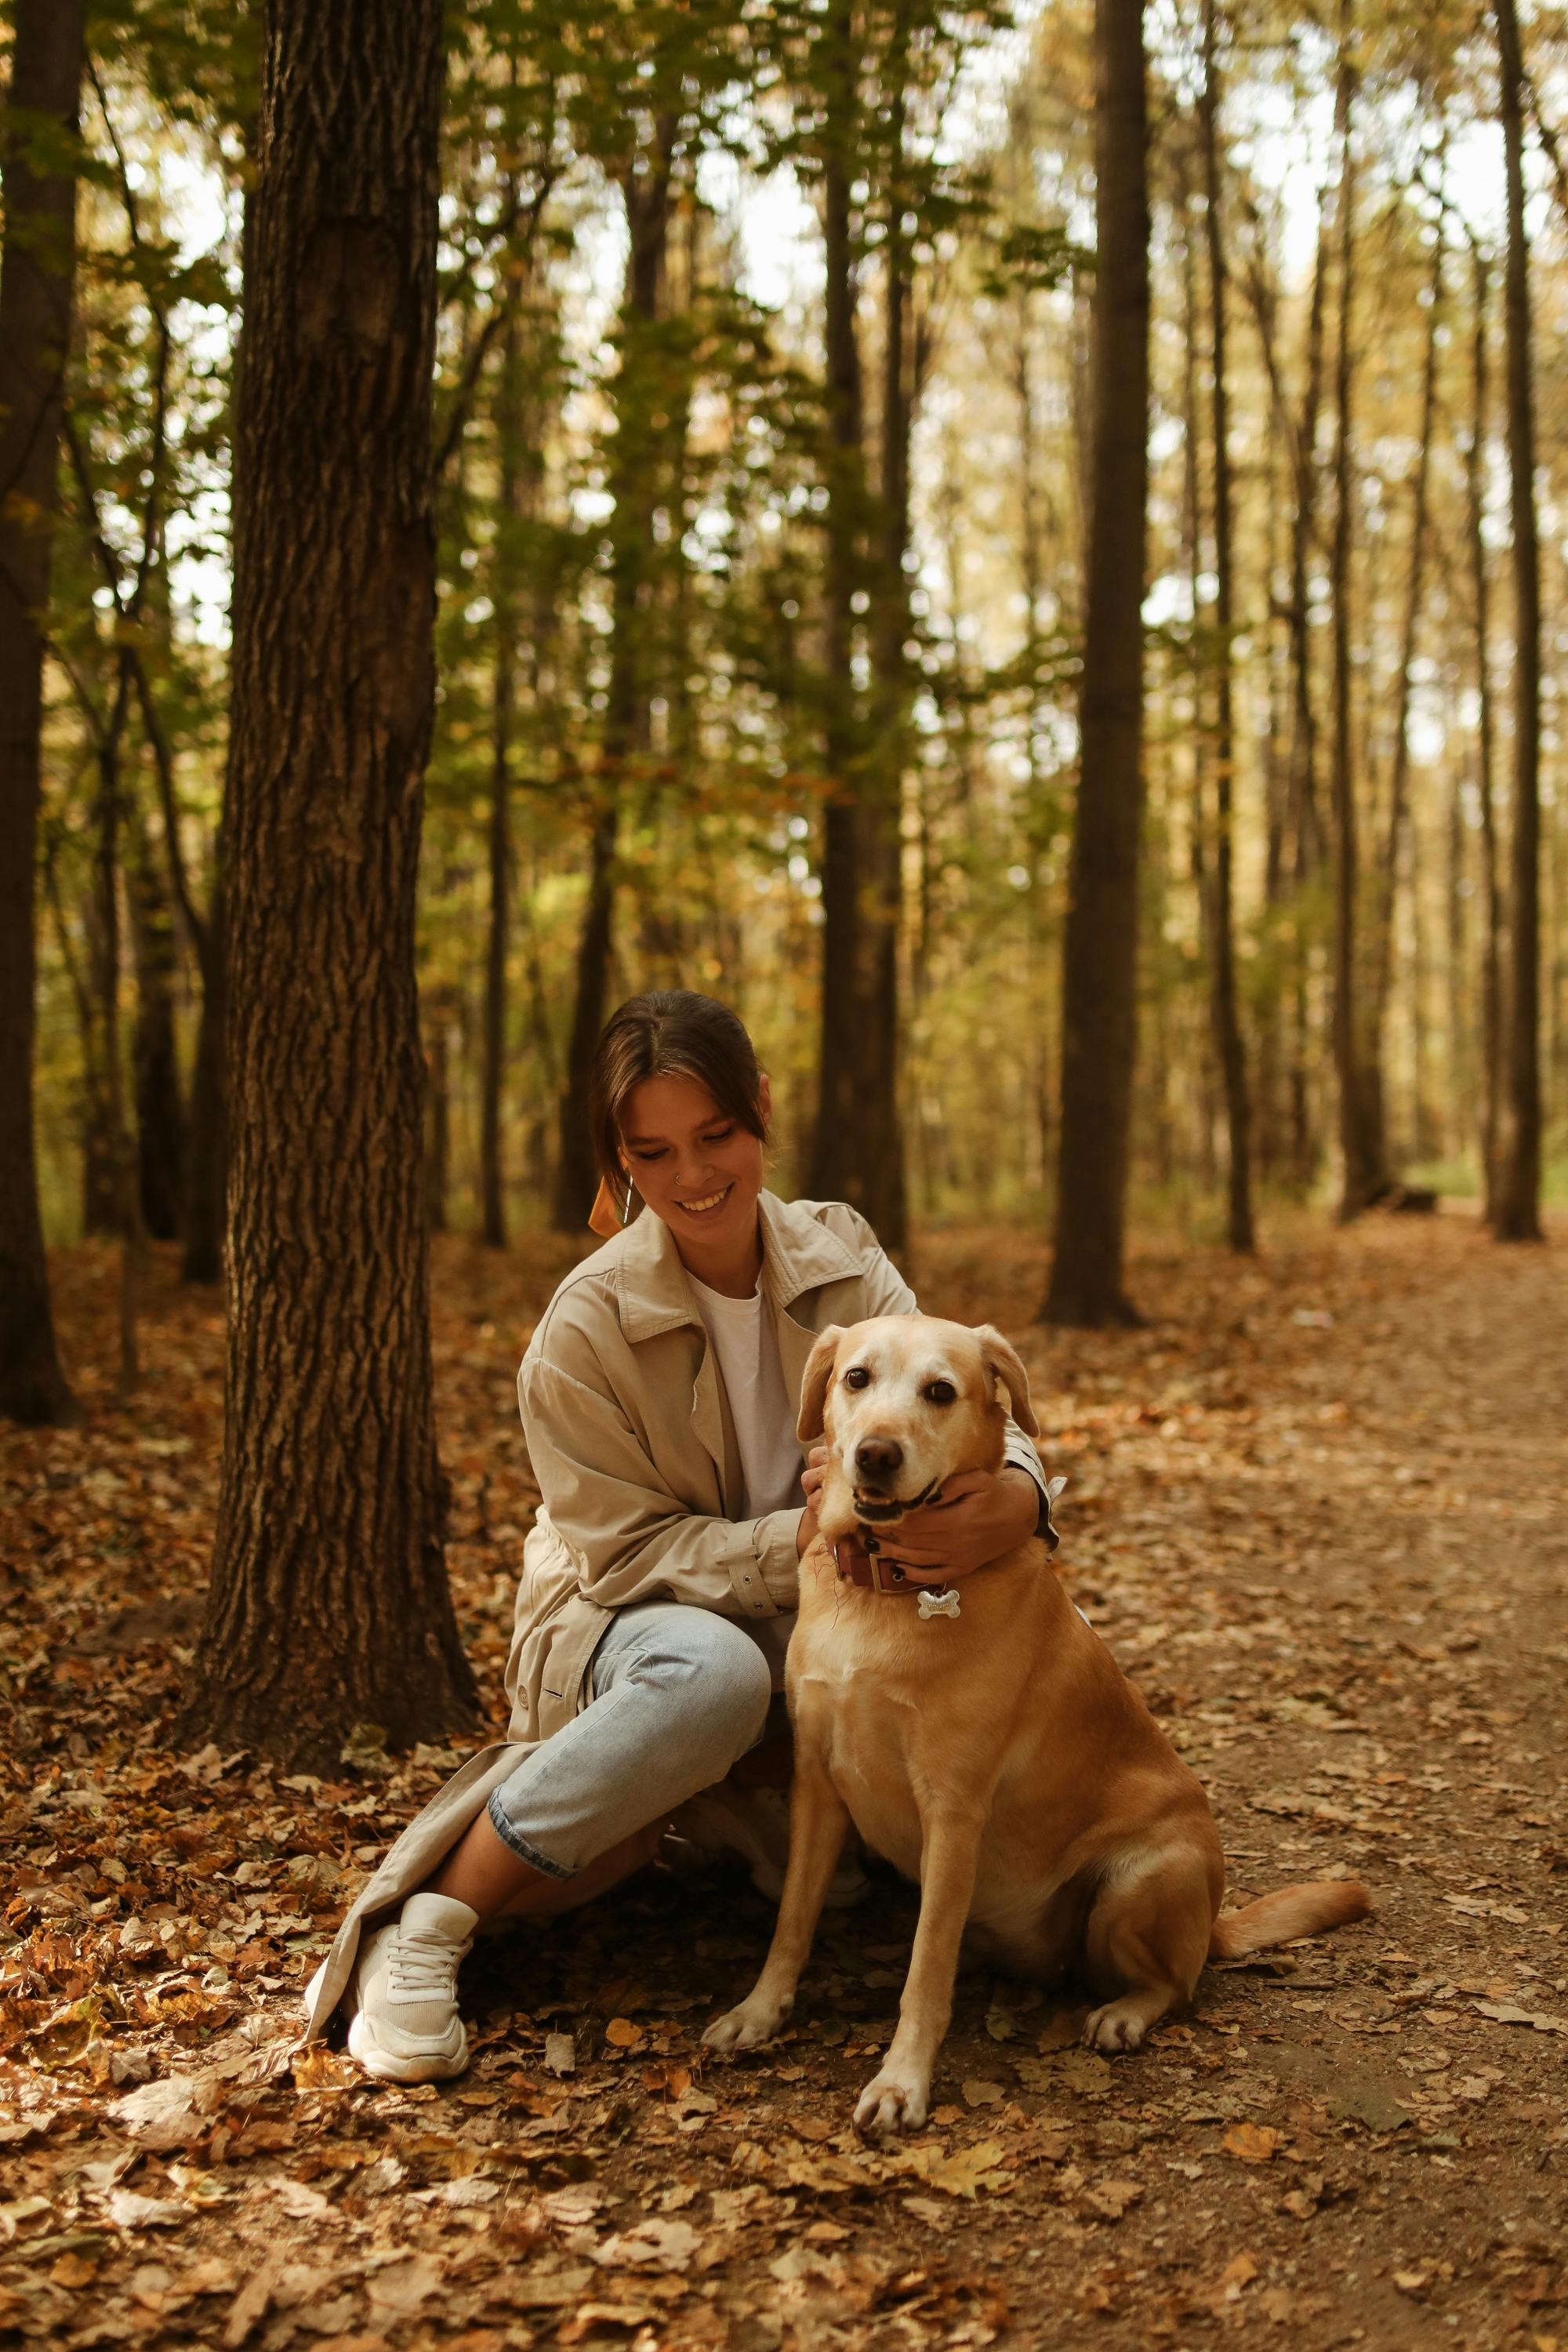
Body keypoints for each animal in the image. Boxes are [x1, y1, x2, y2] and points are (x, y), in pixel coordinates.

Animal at [705, 1317, 1363, 2145]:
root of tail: (1212, 1924)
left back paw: (1123, 2014)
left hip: (1137, 1883)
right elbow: (792, 1922)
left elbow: (926, 1967)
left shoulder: (953, 1812)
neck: (886, 1595)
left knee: (1176, 1985)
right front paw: (759, 2012)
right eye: (856, 1378)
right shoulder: (819, 1784)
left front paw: (901, 2082)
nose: (877, 1454)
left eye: (940, 1391)